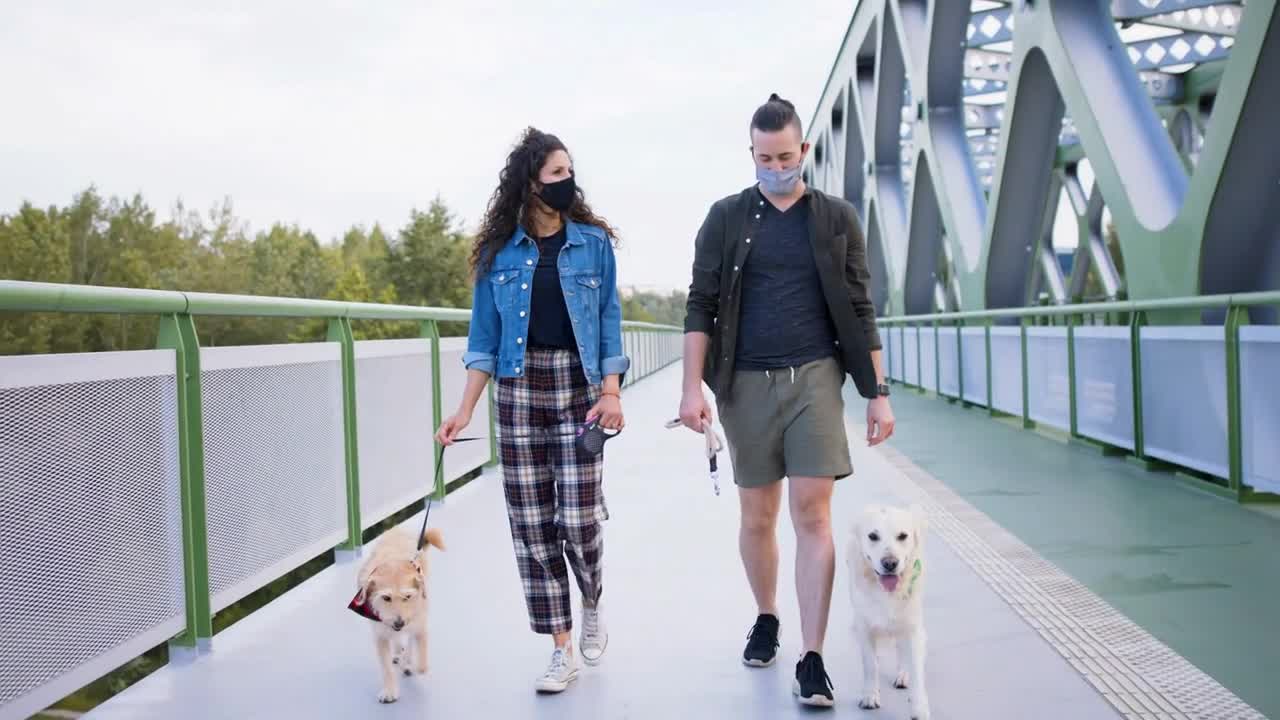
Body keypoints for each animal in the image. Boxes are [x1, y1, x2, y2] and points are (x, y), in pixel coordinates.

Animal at [355, 520, 445, 702]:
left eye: (408, 597)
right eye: (386, 598)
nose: (399, 622)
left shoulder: (419, 625)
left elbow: (421, 663)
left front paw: (410, 664)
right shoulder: (380, 634)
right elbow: (386, 668)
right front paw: (390, 691)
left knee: (409, 641)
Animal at [849, 502, 931, 712]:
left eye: (902, 536)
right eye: (873, 536)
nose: (890, 563)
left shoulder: (913, 629)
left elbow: (916, 669)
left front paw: (919, 708)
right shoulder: (864, 627)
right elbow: (870, 664)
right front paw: (870, 695)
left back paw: (902, 675)